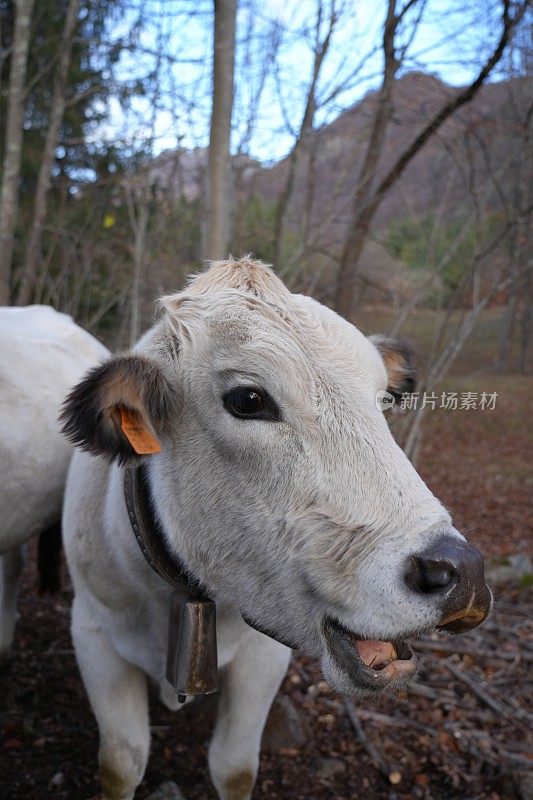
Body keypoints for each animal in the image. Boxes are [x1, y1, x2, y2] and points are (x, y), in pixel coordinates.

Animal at [59, 258, 490, 800]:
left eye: (381, 400)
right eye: (248, 399)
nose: (462, 574)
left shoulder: (263, 655)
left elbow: (234, 766)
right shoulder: (93, 633)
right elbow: (120, 763)